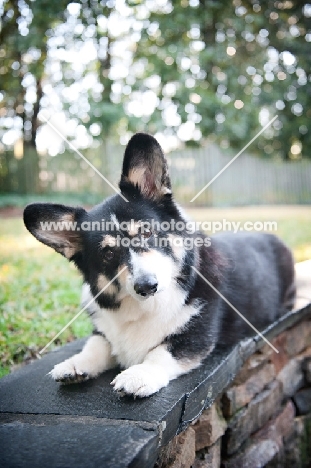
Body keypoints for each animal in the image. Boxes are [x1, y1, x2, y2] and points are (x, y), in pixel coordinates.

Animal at [22, 133, 298, 396]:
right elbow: (95, 345)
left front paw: (138, 375)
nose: (147, 286)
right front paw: (74, 364)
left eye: (146, 232)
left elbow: (161, 352)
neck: (145, 307)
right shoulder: (103, 333)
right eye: (108, 254)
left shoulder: (195, 337)